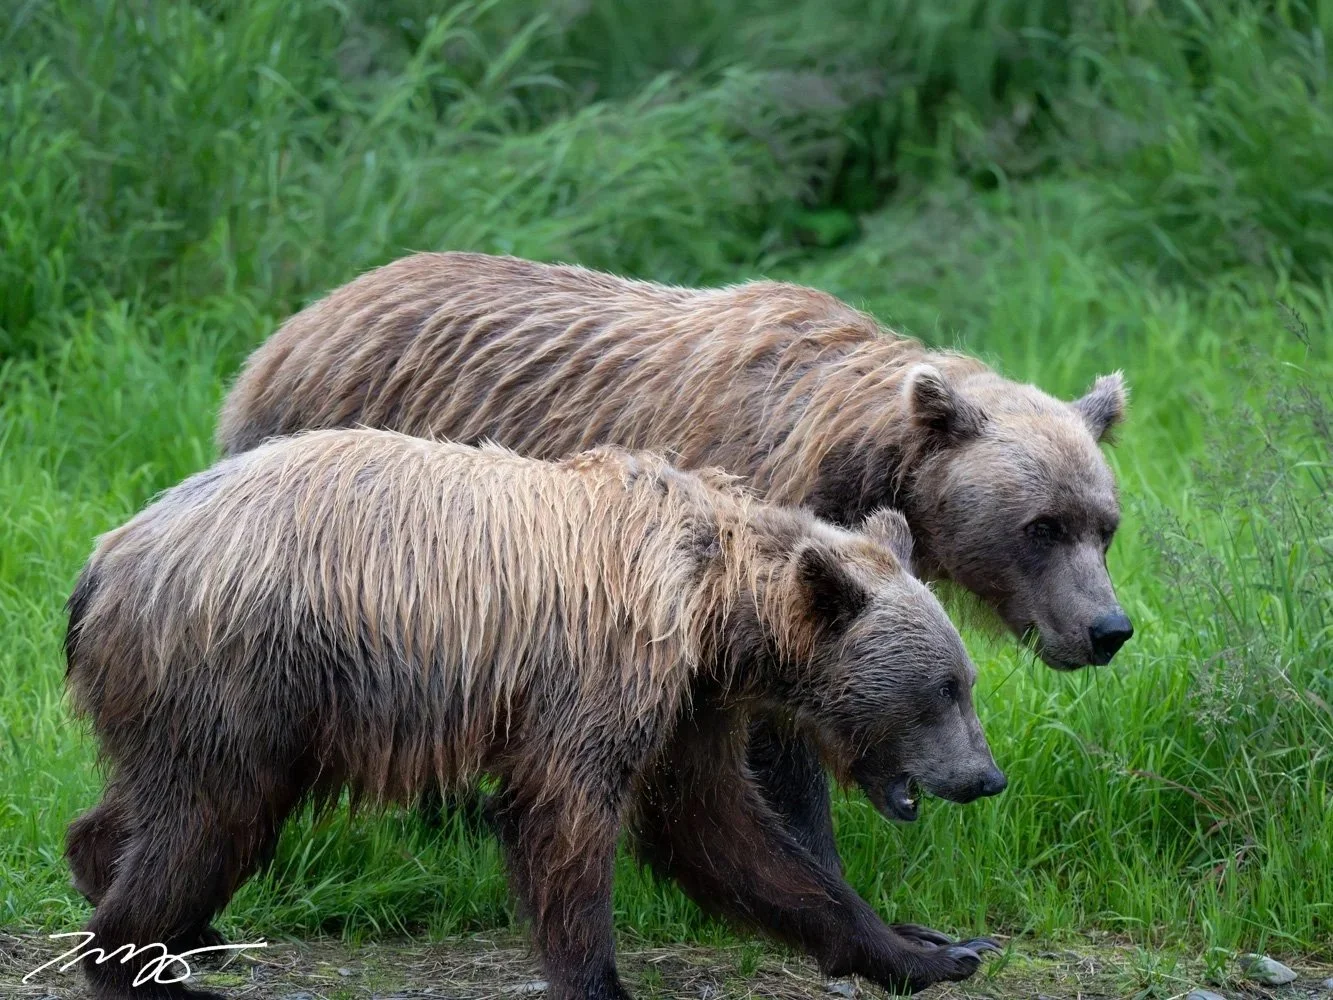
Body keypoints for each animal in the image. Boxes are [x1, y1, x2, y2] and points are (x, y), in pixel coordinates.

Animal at [64, 429, 1005, 1000]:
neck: (714, 611)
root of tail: (105, 556)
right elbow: (568, 814)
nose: (984, 775)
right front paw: (599, 979)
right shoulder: (603, 667)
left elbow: (725, 831)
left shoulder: (691, 707)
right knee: (210, 812)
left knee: (153, 804)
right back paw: (138, 952)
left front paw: (932, 950)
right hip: (245, 666)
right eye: (941, 688)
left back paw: (167, 914)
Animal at [214, 251, 1131, 873]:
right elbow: (775, 740)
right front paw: (813, 855)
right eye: (1040, 526)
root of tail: (283, 334)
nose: (1107, 627)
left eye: (1105, 525)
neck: (853, 456)